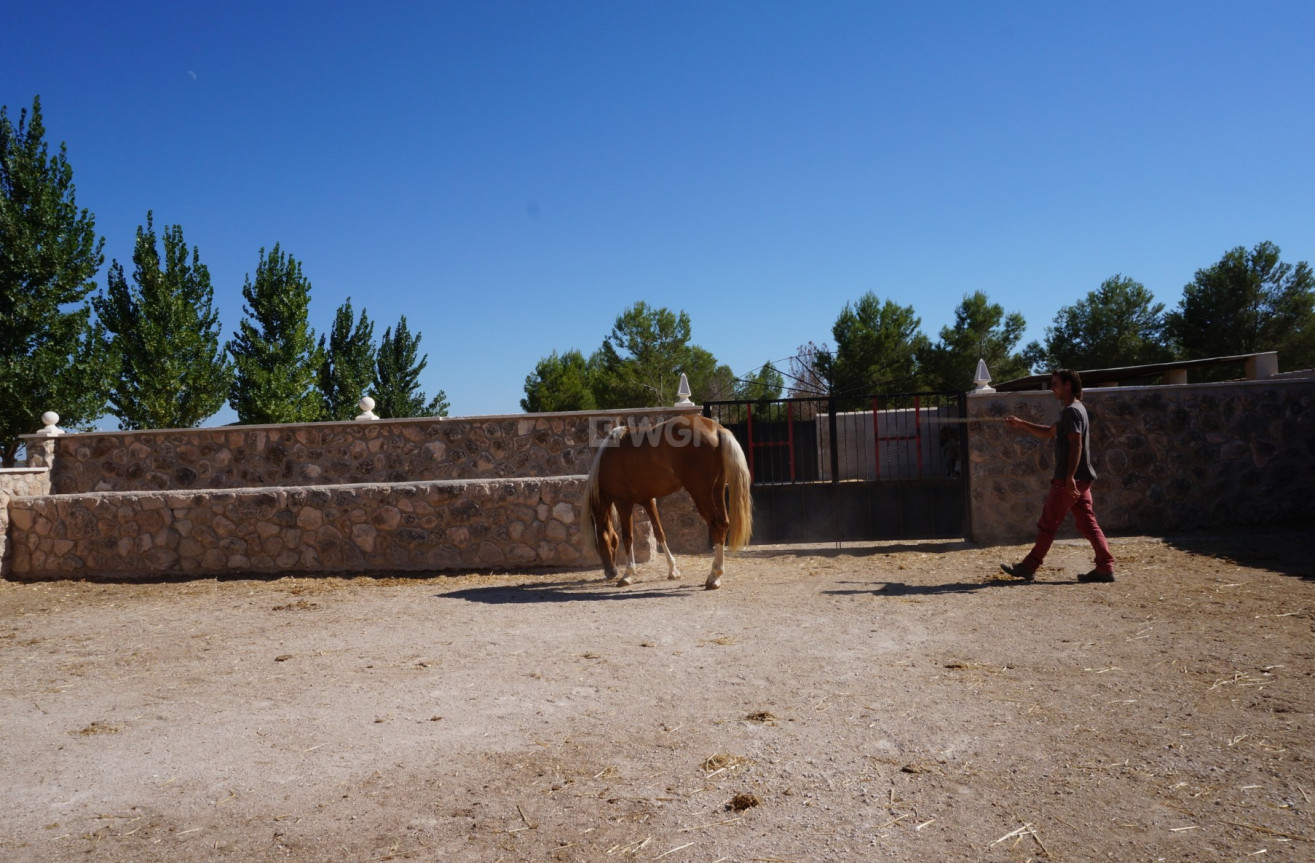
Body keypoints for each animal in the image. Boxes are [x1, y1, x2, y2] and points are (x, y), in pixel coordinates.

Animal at [586, 415, 752, 589]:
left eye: (599, 544)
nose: (610, 572)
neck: (609, 456)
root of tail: (717, 428)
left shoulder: (623, 502)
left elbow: (627, 537)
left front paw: (627, 575)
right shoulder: (648, 501)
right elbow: (659, 533)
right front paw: (673, 570)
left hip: (701, 494)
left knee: (717, 526)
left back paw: (714, 576)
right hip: (717, 491)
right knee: (724, 524)